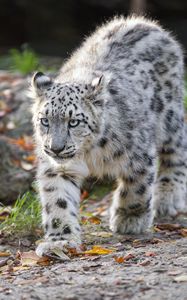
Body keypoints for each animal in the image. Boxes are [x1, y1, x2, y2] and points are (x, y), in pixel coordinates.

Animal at [31, 15, 186, 255]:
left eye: (73, 122)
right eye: (45, 120)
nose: (55, 148)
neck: (88, 154)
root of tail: (144, 22)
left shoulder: (139, 155)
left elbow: (137, 187)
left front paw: (129, 219)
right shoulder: (56, 168)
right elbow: (58, 201)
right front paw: (60, 240)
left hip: (169, 117)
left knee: (176, 150)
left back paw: (169, 196)